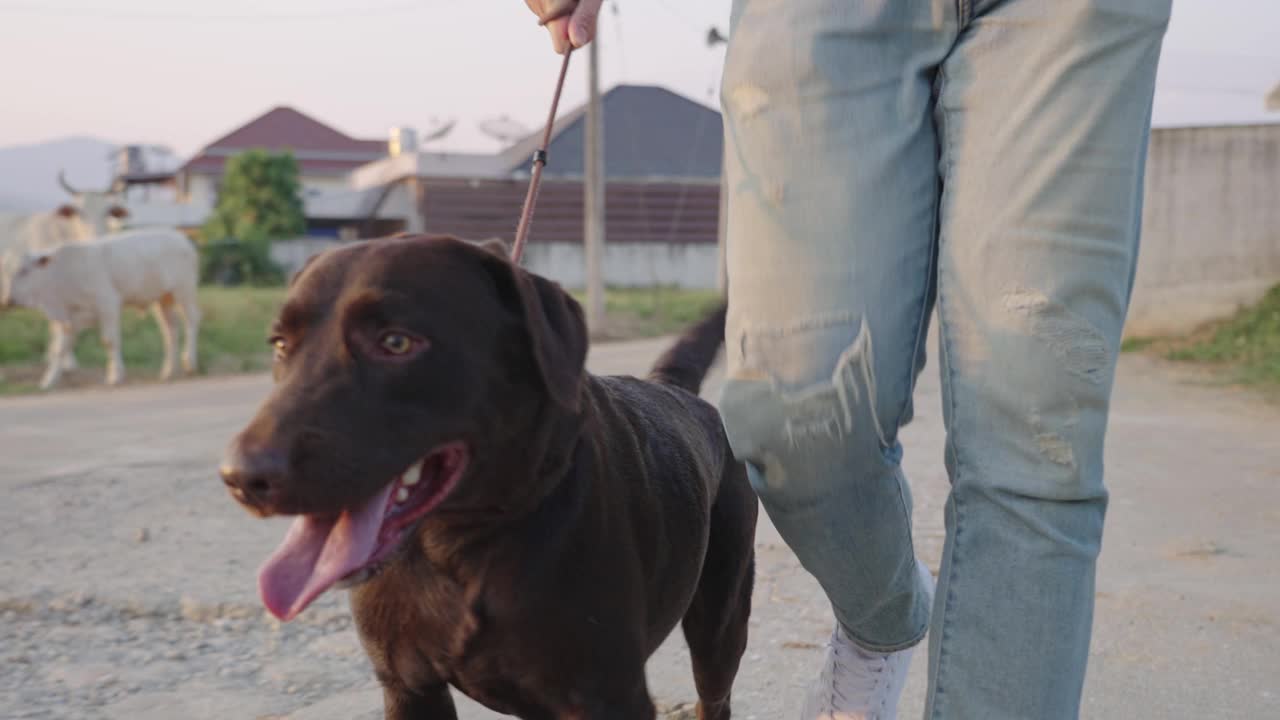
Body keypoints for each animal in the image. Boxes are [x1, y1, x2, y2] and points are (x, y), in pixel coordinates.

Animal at [5, 228, 200, 386]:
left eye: (24, 271)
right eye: (7, 272)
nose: (7, 301)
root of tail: (183, 239)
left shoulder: (108, 304)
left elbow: (109, 341)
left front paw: (115, 375)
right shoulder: (69, 320)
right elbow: (60, 349)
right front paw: (49, 380)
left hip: (184, 291)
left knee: (191, 321)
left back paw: (189, 362)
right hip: (162, 300)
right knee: (170, 331)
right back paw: (168, 371)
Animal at [221, 235, 757, 717]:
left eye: (396, 341)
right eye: (280, 345)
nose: (242, 477)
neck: (456, 543)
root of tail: (674, 390)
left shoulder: (609, 696)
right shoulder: (408, 688)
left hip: (720, 627)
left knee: (716, 696)